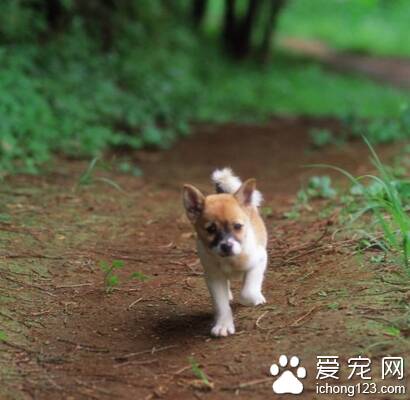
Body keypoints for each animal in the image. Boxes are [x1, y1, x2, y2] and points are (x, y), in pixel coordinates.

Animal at [183, 169, 268, 338]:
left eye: (238, 226)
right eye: (211, 229)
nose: (227, 246)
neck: (230, 260)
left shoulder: (260, 260)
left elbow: (247, 292)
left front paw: (254, 298)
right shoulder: (214, 277)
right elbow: (221, 305)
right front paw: (223, 324)